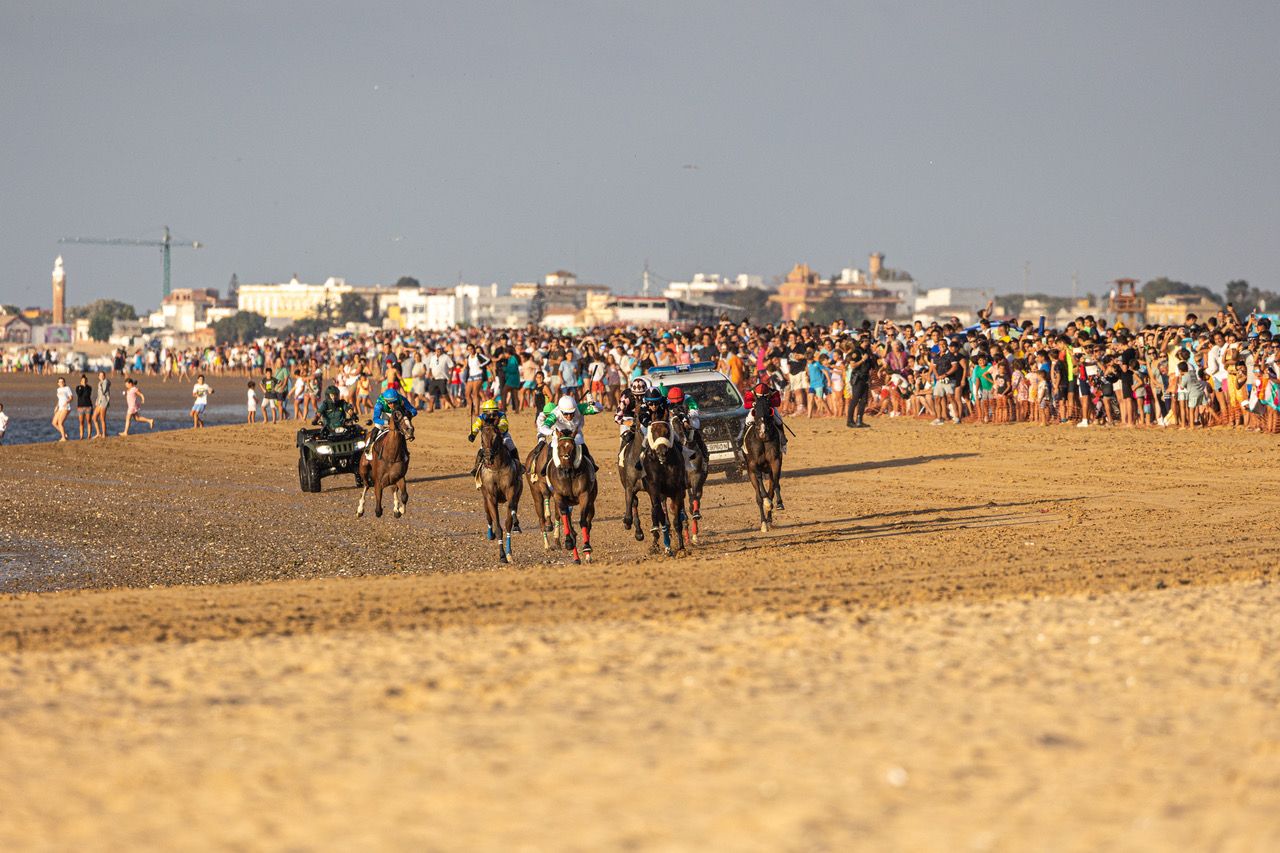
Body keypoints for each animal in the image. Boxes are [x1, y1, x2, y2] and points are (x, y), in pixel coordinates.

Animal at [478, 420, 522, 563]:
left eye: (496, 437)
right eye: (482, 438)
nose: (488, 457)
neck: (497, 467)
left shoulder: (511, 491)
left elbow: (508, 522)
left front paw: (508, 553)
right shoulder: (490, 497)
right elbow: (498, 527)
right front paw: (502, 555)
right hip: (484, 498)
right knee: (488, 515)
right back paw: (489, 534)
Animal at [542, 427, 596, 560]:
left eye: (572, 447)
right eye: (559, 447)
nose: (566, 469)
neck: (569, 476)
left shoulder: (584, 495)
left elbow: (583, 521)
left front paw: (587, 546)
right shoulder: (559, 497)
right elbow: (565, 517)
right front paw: (568, 542)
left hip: (591, 502)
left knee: (589, 522)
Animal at [640, 414, 691, 555]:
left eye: (667, 431)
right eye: (653, 431)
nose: (662, 452)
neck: (664, 464)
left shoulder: (678, 490)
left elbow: (677, 520)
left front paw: (681, 547)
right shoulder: (655, 490)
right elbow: (661, 516)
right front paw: (667, 547)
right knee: (658, 512)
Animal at [747, 391, 783, 532]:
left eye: (769, 407)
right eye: (755, 407)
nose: (763, 432)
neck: (762, 440)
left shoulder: (775, 461)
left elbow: (775, 484)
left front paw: (779, 503)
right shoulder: (754, 464)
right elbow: (762, 491)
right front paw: (767, 502)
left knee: (771, 490)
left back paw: (769, 520)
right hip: (751, 473)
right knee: (758, 497)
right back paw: (763, 523)